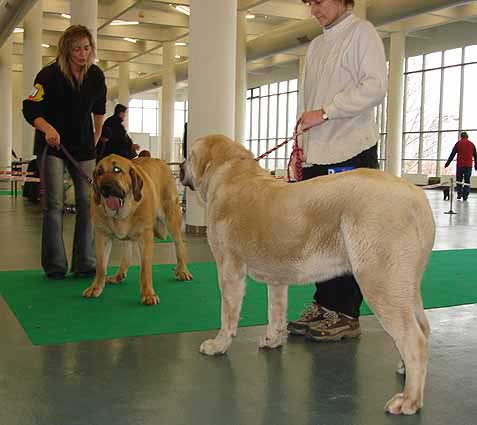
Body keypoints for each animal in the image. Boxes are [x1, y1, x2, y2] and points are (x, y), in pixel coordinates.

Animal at [83, 154, 192, 304]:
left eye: (117, 170)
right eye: (99, 172)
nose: (104, 187)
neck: (122, 213)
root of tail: (159, 161)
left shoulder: (145, 237)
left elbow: (145, 268)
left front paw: (148, 294)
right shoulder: (101, 235)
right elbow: (100, 266)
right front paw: (95, 287)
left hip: (172, 217)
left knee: (179, 245)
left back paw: (182, 271)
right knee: (127, 252)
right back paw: (119, 274)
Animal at [181, 134, 436, 412]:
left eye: (189, 155)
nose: (180, 168)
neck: (231, 173)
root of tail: (417, 197)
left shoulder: (229, 269)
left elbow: (227, 315)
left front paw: (218, 344)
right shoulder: (277, 278)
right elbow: (276, 313)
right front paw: (272, 340)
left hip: (381, 281)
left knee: (415, 340)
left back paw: (409, 399)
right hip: (405, 285)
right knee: (423, 328)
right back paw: (406, 369)